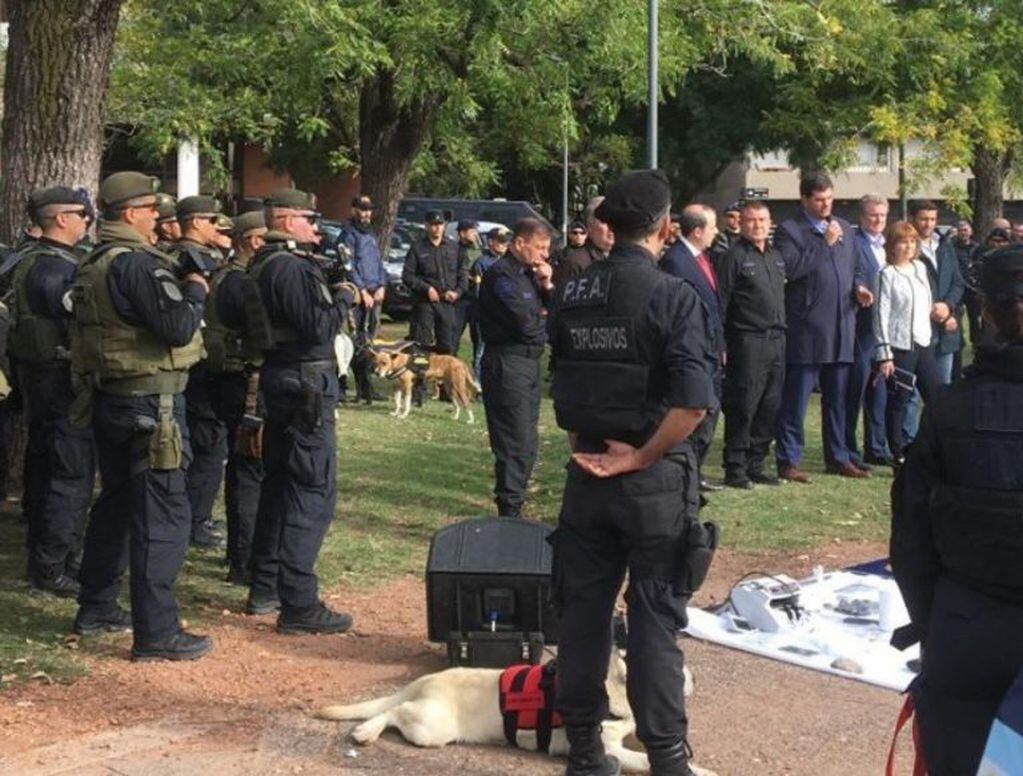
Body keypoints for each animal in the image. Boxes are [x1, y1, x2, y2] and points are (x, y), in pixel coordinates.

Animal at [315, 654, 716, 776]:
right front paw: (700, 770)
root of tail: (426, 679)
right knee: (394, 712)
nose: (697, 676)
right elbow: (645, 759)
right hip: (431, 726)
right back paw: (366, 731)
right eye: (677, 668)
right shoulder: (611, 748)